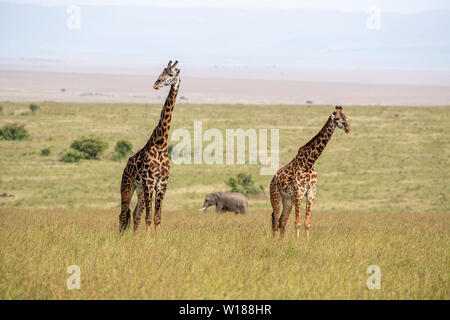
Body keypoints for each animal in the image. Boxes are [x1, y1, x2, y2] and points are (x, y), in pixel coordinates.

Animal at [120, 60, 182, 234]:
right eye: (163, 70)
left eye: (171, 73)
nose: (156, 84)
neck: (161, 143)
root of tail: (125, 166)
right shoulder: (149, 181)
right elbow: (148, 217)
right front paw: (148, 240)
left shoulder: (161, 183)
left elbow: (156, 217)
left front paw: (157, 239)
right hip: (128, 186)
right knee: (123, 214)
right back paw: (119, 237)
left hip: (140, 190)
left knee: (135, 214)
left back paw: (134, 238)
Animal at [268, 105, 350, 240]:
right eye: (337, 118)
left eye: (346, 117)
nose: (348, 128)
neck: (309, 163)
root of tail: (272, 181)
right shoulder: (299, 193)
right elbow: (297, 223)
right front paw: (297, 242)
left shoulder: (311, 193)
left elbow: (307, 223)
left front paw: (306, 241)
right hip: (276, 197)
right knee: (275, 222)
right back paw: (274, 242)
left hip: (288, 200)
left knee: (282, 221)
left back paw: (281, 242)